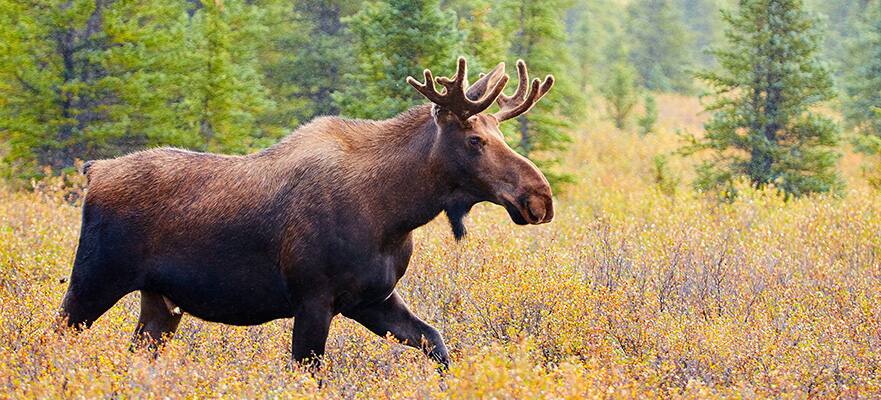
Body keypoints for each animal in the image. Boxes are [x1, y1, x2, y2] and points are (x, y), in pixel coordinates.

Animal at [58, 57, 555, 369]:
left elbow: (437, 344)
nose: (540, 198)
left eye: (499, 135)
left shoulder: (373, 299)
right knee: (57, 334)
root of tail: (93, 170)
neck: (394, 214)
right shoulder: (314, 299)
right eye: (475, 140)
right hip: (95, 278)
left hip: (160, 302)